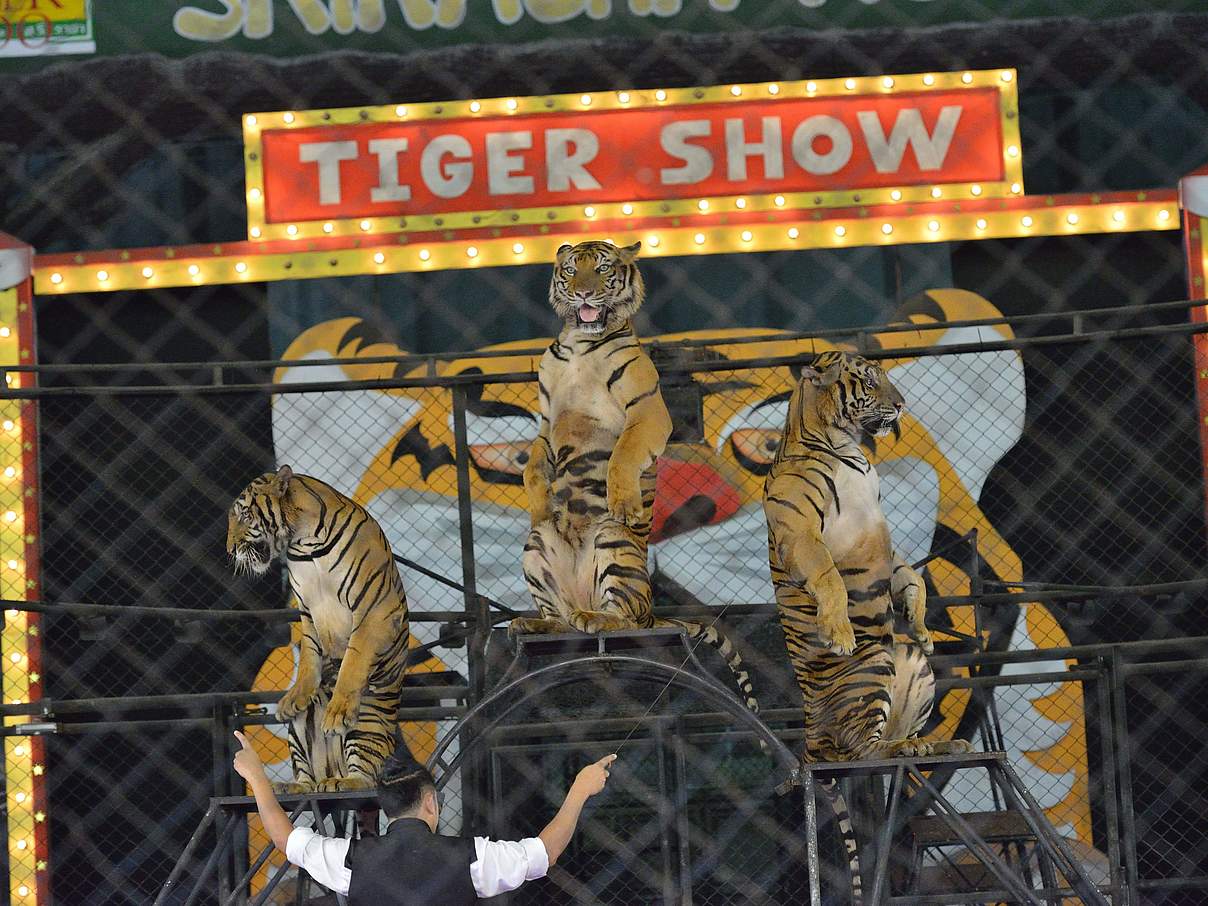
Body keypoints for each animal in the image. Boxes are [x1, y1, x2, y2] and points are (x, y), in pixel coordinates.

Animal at [225, 468, 410, 792]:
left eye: (245, 515)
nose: (229, 549)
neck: (302, 543)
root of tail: (332, 769)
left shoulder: (372, 609)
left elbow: (353, 660)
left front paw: (337, 712)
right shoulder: (308, 611)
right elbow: (310, 657)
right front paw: (295, 696)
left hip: (368, 722)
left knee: (367, 777)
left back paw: (345, 781)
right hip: (300, 731)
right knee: (308, 778)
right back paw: (290, 785)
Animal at [507, 241, 753, 715]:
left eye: (603, 269)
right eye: (572, 270)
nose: (584, 293)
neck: (581, 344)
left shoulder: (647, 411)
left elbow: (622, 455)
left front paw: (623, 499)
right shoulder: (545, 420)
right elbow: (532, 463)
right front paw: (539, 502)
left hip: (612, 546)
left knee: (625, 617)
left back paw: (596, 616)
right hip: (537, 547)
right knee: (563, 621)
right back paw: (535, 624)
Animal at [763, 350, 971, 898]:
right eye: (870, 382)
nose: (901, 405)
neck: (847, 449)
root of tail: (809, 721)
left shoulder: (885, 539)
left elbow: (907, 574)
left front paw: (920, 622)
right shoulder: (802, 533)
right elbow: (829, 577)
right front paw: (838, 630)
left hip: (909, 664)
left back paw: (939, 742)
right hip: (871, 669)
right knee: (862, 751)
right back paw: (908, 743)